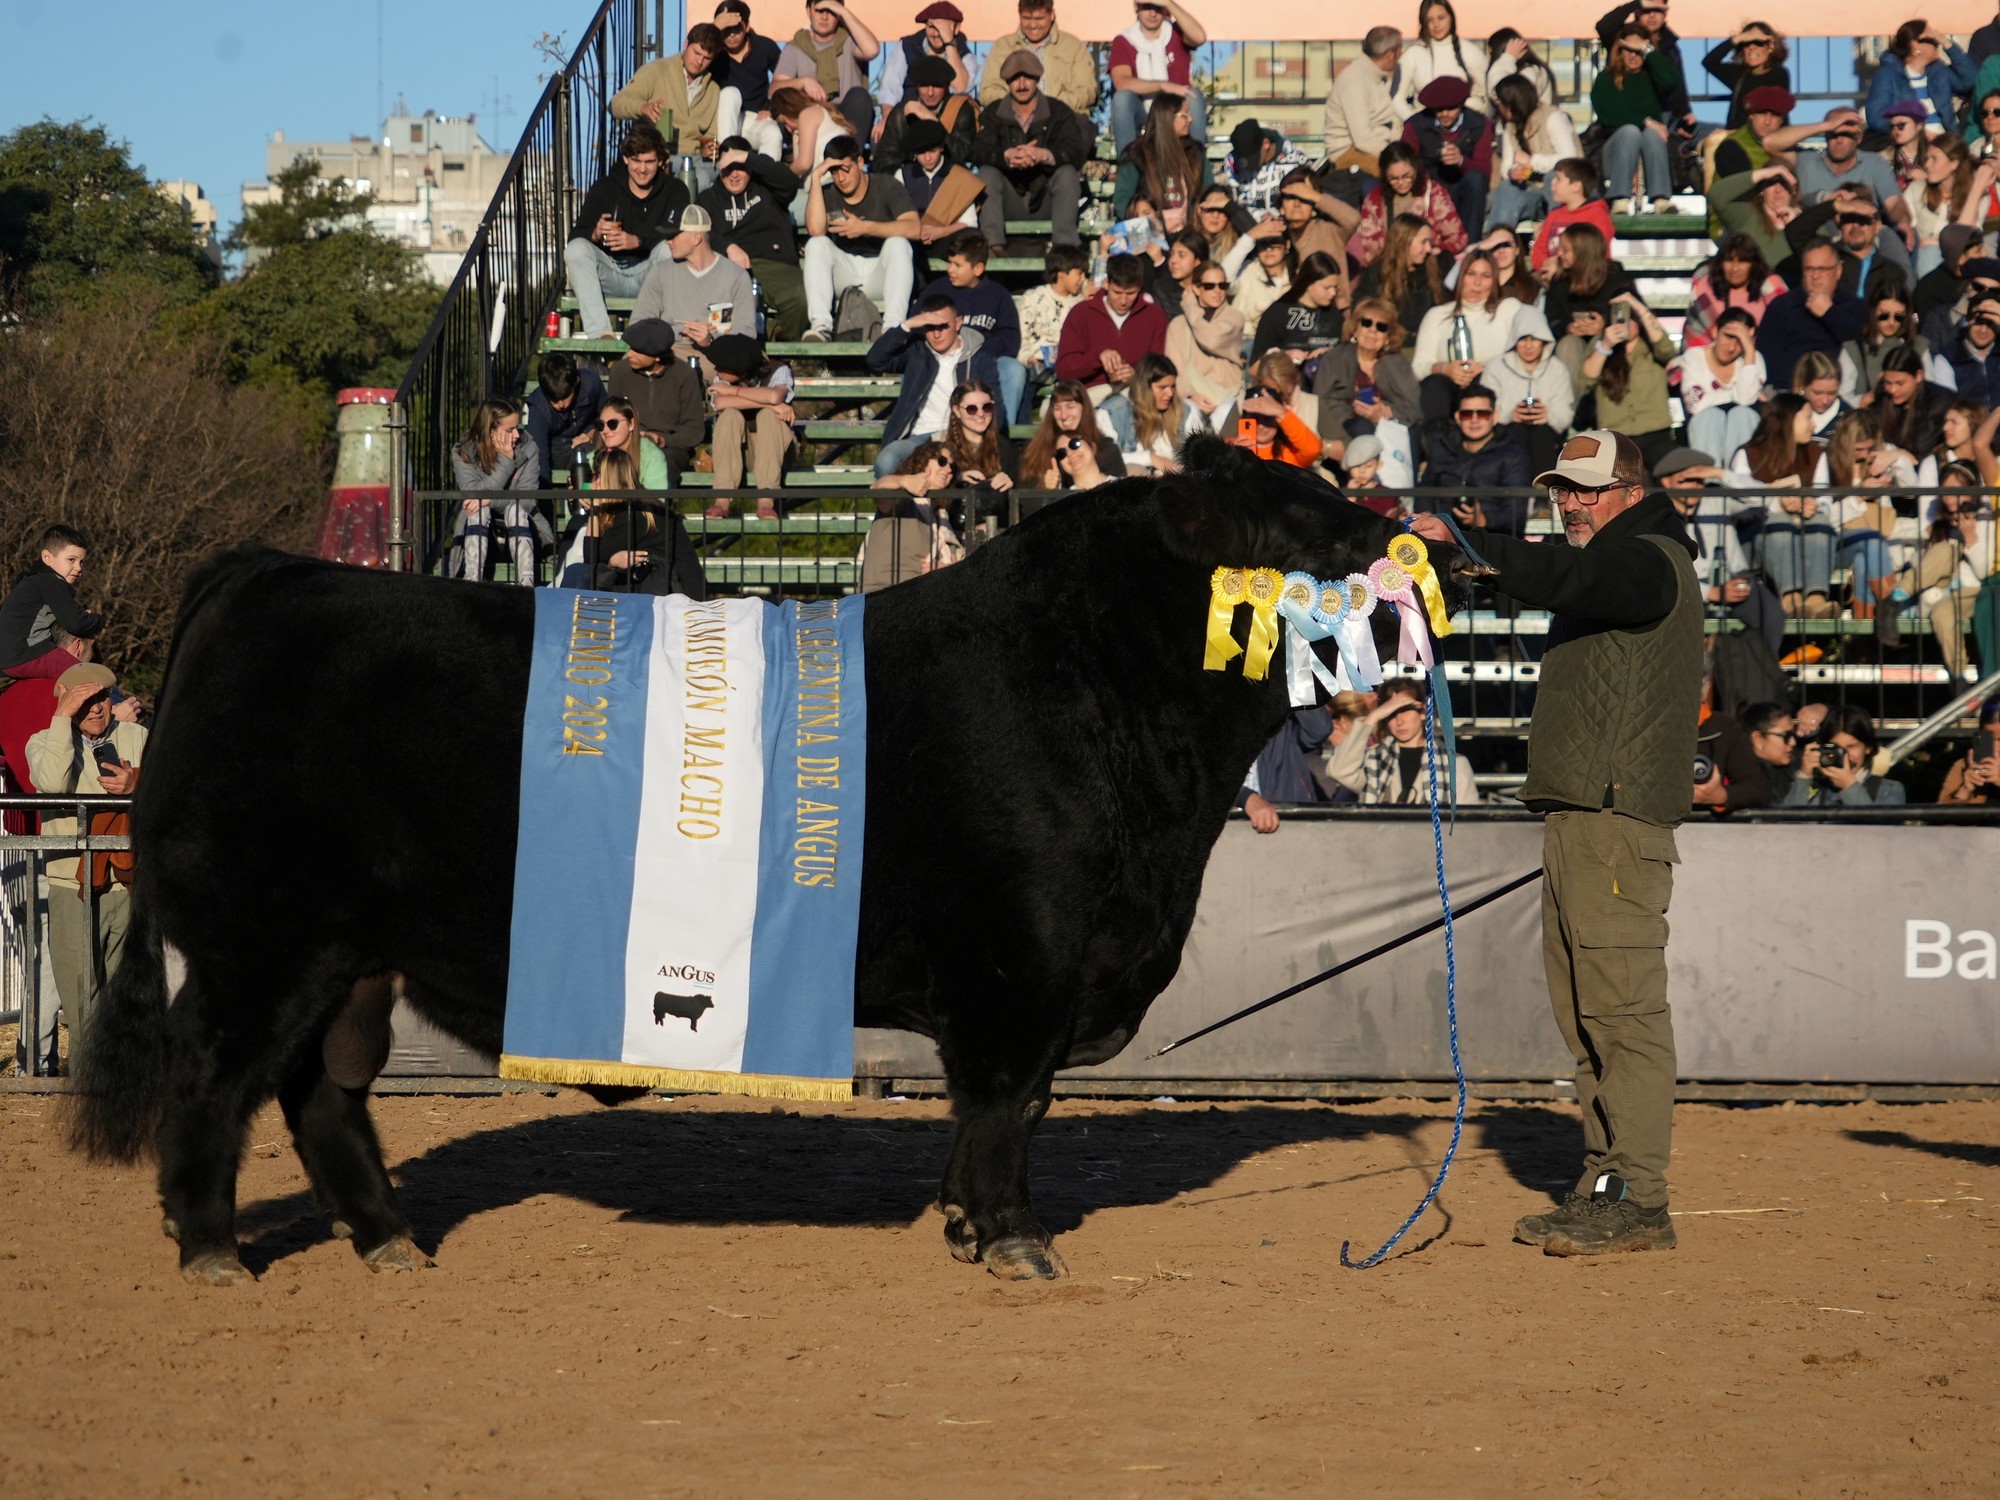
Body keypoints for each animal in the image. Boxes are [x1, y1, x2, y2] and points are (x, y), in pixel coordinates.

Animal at [74, 440, 1472, 1288]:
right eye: (1305, 529)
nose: (1426, 543)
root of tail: (270, 574)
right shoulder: (1019, 961)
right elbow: (1008, 1105)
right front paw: (1012, 1240)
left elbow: (992, 1111)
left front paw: (966, 1224)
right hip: (266, 941)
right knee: (217, 1077)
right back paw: (212, 1250)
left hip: (353, 957)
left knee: (323, 1094)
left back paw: (389, 1245)